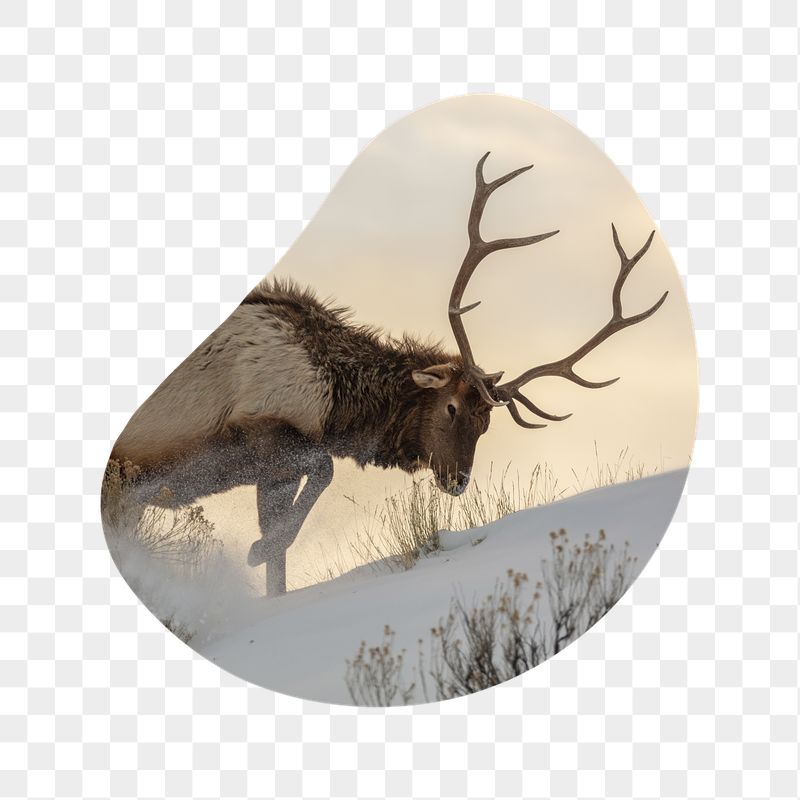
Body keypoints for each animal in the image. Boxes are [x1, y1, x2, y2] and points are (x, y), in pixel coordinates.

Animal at [103, 152, 667, 597]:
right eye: (451, 406)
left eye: (487, 423)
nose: (458, 481)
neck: (337, 399)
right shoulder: (260, 427)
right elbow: (320, 476)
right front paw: (258, 548)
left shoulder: (271, 467)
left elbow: (283, 557)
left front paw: (266, 560)